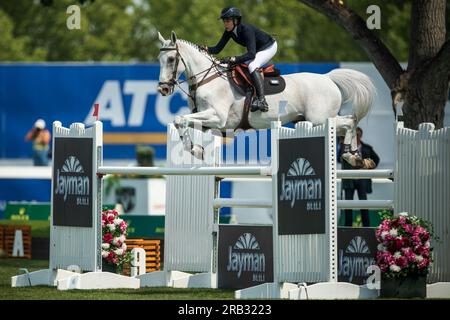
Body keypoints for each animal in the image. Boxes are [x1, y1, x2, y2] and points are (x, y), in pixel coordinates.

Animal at [156, 31, 374, 168]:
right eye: (159, 60)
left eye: (171, 59)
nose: (163, 89)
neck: (207, 78)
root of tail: (328, 78)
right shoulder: (209, 122)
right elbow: (181, 122)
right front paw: (196, 149)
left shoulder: (218, 117)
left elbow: (180, 119)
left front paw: (197, 150)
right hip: (316, 120)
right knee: (348, 124)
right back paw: (357, 158)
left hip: (320, 119)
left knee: (350, 121)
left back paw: (351, 155)